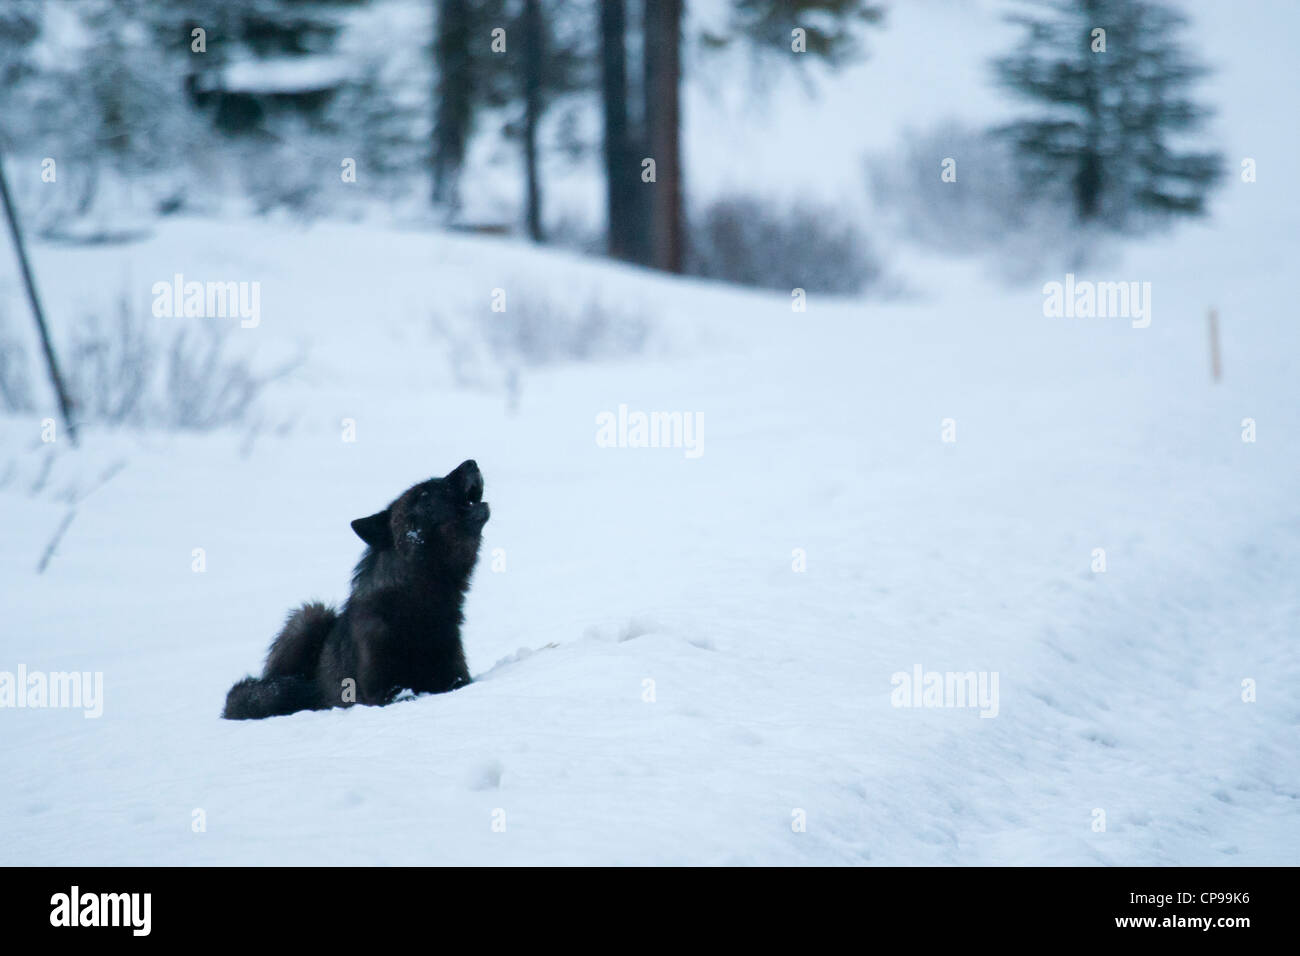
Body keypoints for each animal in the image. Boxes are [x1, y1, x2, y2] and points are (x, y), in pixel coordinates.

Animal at [220, 463, 488, 717]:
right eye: (425, 492)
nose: (472, 463)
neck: (417, 604)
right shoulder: (378, 691)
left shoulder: (457, 676)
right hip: (309, 616)